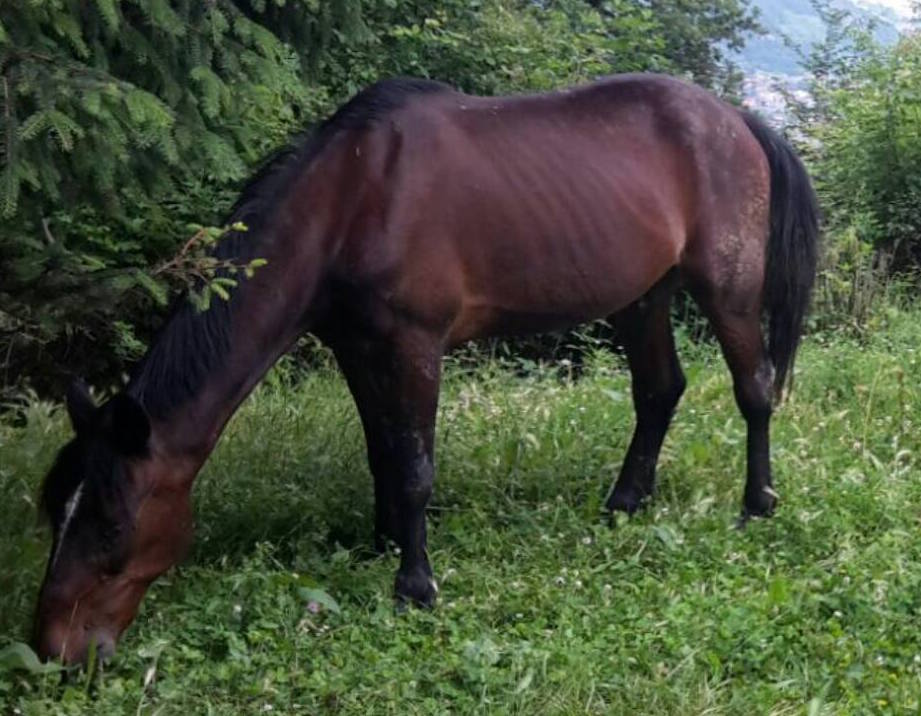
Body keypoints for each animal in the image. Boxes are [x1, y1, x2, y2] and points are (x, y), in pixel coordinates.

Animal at [33, 74, 819, 664]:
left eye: (110, 529)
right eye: (53, 514)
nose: (53, 651)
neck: (350, 196)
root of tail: (736, 118)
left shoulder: (413, 343)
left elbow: (414, 466)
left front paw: (414, 586)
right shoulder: (357, 346)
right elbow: (383, 452)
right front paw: (383, 543)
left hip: (726, 289)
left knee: (753, 391)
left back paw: (756, 502)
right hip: (642, 296)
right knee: (658, 390)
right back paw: (625, 502)